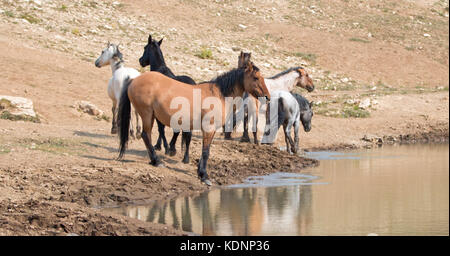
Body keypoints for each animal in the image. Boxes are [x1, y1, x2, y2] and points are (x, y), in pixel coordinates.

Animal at [118, 62, 268, 186]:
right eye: (255, 78)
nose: (267, 97)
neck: (218, 94)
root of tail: (134, 80)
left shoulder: (210, 130)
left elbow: (205, 151)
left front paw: (200, 171)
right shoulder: (208, 128)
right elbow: (206, 152)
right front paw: (204, 176)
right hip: (147, 115)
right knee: (146, 135)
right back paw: (157, 161)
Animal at [139, 34, 195, 163]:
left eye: (145, 47)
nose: (141, 60)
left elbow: (161, 129)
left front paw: (164, 147)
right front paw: (163, 146)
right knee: (187, 134)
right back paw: (185, 157)